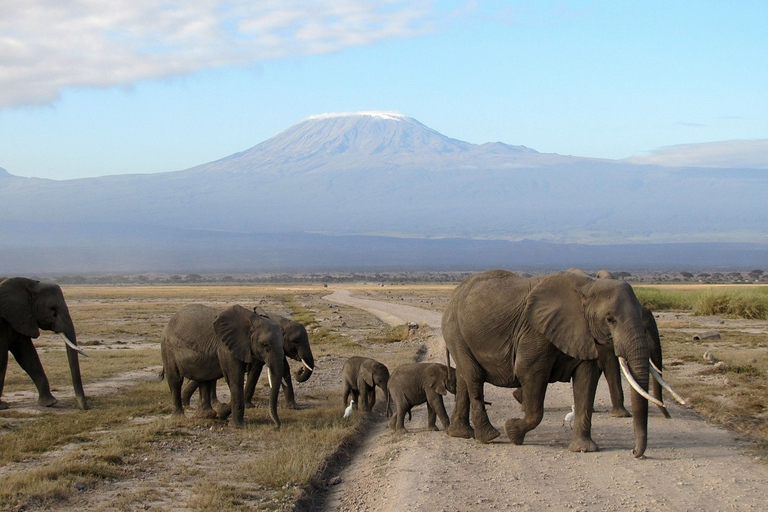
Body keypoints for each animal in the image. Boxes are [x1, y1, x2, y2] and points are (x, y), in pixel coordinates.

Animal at [182, 306, 316, 410]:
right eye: (296, 341)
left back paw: (186, 404)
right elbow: (255, 371)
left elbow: (284, 369)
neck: (282, 321)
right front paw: (248, 406)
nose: (300, 369)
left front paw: (294, 407)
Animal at [444, 270, 684, 458]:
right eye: (610, 320)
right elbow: (530, 374)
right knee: (474, 378)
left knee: (464, 379)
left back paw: (461, 434)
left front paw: (584, 449)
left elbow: (586, 380)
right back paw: (489, 436)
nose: (634, 452)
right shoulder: (535, 332)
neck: (589, 285)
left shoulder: (583, 332)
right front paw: (512, 432)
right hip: (455, 331)